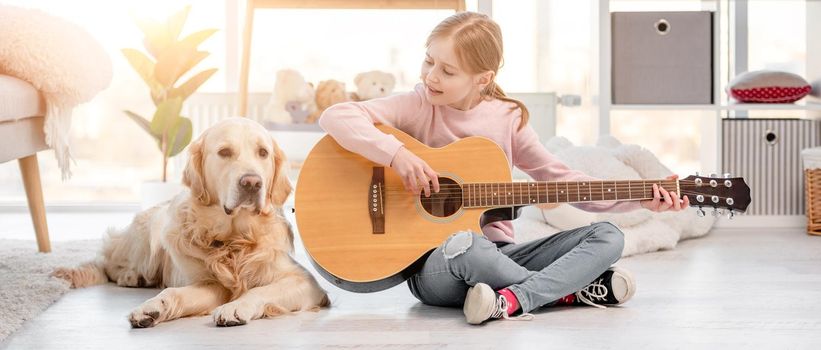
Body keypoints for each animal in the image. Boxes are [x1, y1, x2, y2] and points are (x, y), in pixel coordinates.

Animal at [52, 117, 330, 328]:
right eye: (224, 152)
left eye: (263, 153)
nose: (252, 182)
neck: (234, 239)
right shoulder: (208, 282)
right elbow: (173, 292)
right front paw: (150, 307)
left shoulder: (305, 282)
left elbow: (259, 290)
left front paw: (236, 307)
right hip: (147, 237)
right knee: (108, 264)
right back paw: (131, 276)